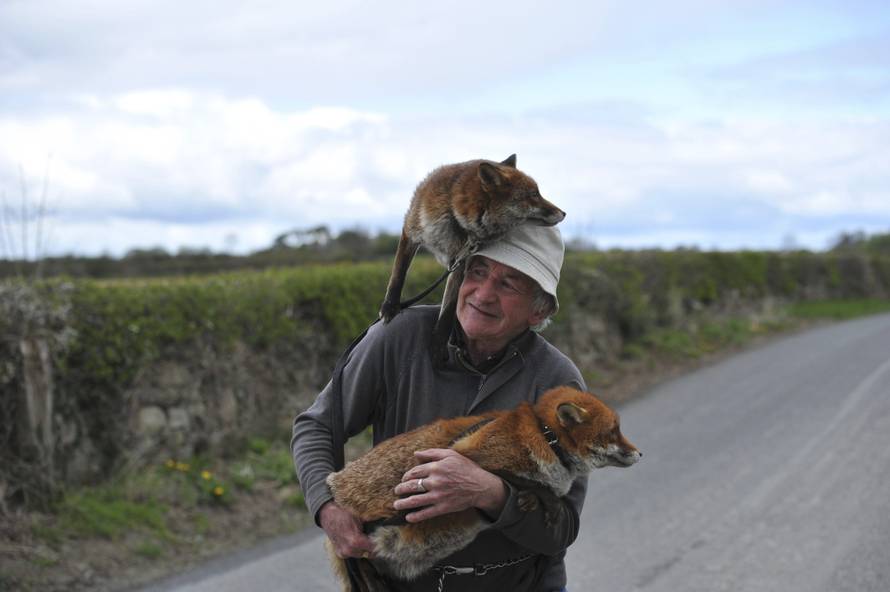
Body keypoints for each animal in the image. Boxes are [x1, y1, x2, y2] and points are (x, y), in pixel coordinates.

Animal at [325, 386, 641, 591]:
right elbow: (527, 483)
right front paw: (542, 501)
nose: (640, 454)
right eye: (613, 432)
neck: (544, 436)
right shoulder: (466, 457)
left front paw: (530, 501)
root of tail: (335, 484)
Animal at [379, 154, 565, 360]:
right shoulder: (410, 231)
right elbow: (398, 274)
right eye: (533, 195)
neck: (457, 222)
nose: (564, 213)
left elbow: (448, 310)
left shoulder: (460, 263)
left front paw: (438, 345)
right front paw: (390, 306)